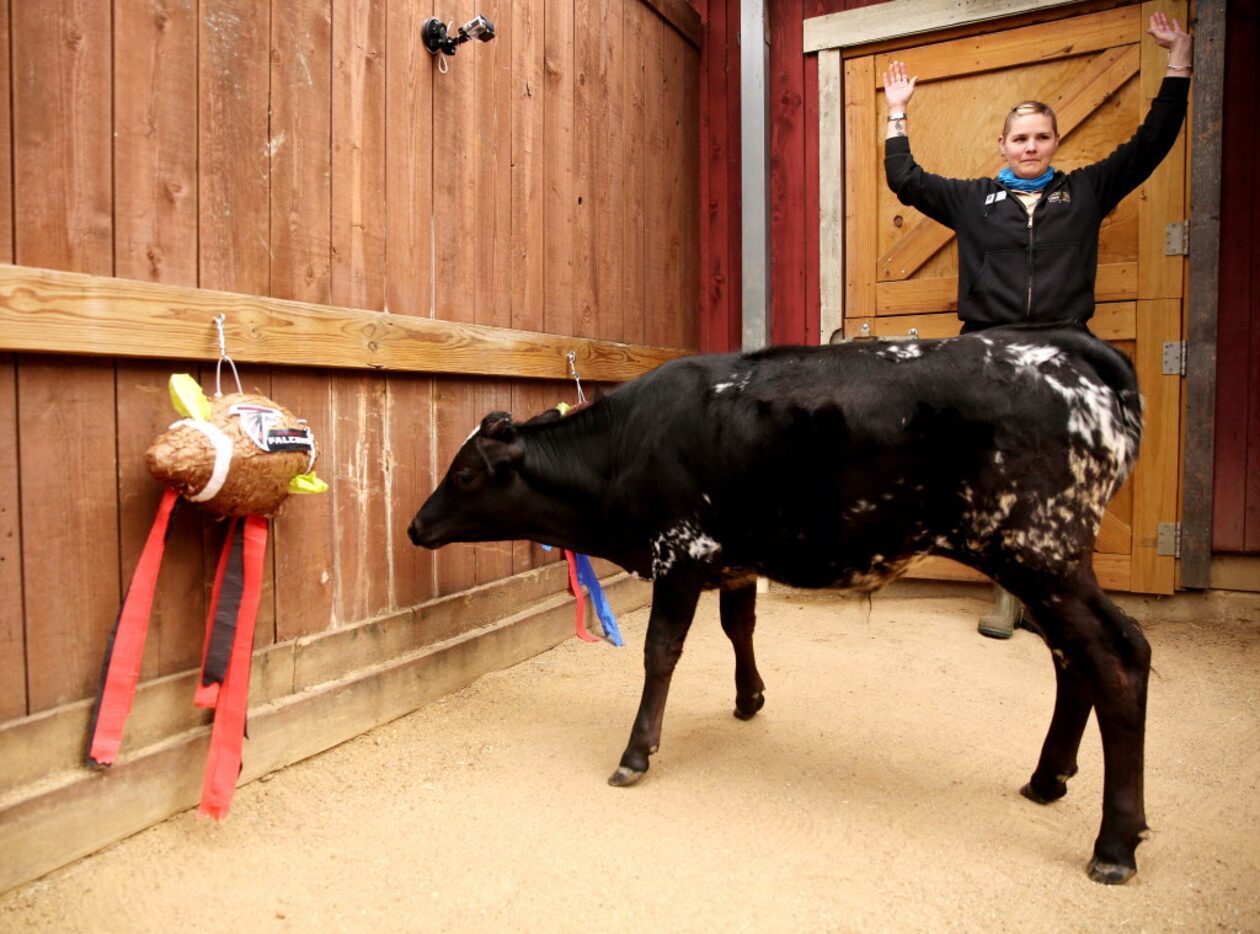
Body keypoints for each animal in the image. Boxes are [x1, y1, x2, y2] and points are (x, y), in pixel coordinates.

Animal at [410, 325, 1154, 882]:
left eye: (465, 473)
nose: (417, 526)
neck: (624, 448)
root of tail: (1066, 350)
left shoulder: (678, 553)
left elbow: (661, 653)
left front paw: (637, 751)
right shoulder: (731, 558)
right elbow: (739, 626)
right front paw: (750, 698)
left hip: (1037, 551)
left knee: (1118, 656)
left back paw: (1113, 844)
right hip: (1045, 562)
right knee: (1073, 660)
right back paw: (1049, 777)